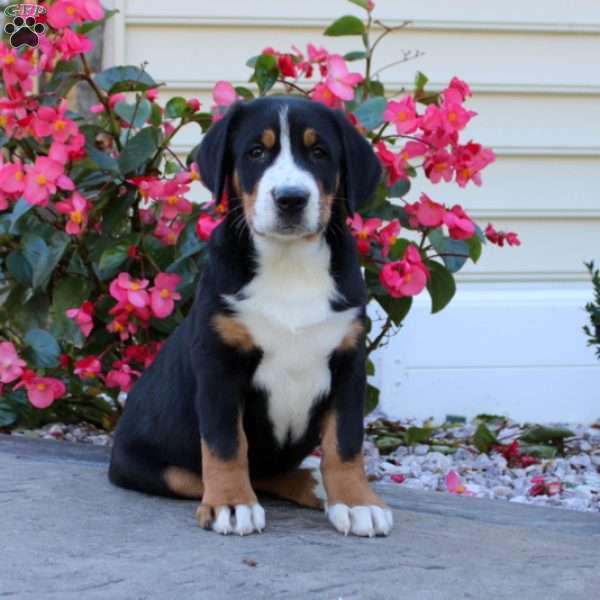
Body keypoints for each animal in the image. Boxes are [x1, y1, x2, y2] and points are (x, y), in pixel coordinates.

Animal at [110, 97, 394, 540]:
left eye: (319, 153)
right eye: (256, 152)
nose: (291, 199)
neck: (289, 263)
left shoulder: (348, 361)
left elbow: (345, 443)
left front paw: (356, 501)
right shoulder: (219, 365)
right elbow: (226, 444)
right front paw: (231, 503)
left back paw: (317, 484)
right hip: (144, 463)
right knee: (211, 473)